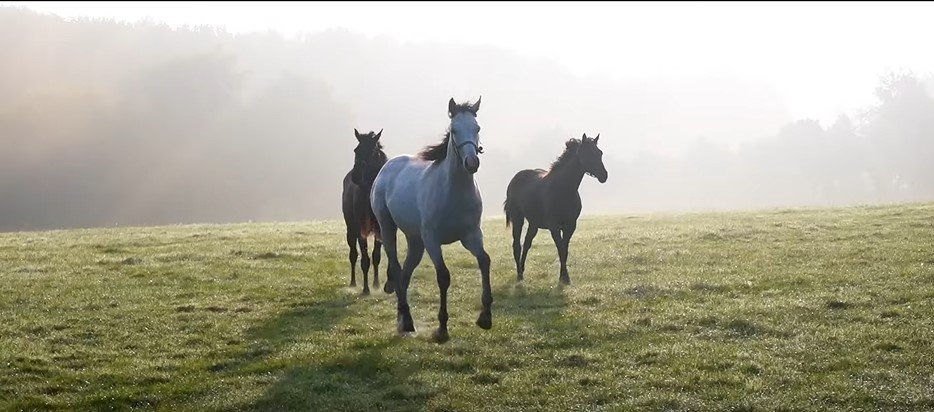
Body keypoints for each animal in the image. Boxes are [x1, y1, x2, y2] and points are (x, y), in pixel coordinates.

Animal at [341, 128, 387, 295]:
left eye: (372, 151)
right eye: (356, 150)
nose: (355, 175)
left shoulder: (381, 229)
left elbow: (376, 257)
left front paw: (376, 285)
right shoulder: (360, 230)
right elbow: (365, 260)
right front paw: (366, 289)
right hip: (350, 229)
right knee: (353, 255)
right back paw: (353, 283)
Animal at [370, 97, 491, 341]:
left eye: (477, 128)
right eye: (454, 130)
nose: (472, 162)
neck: (453, 192)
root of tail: (387, 168)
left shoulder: (471, 236)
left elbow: (484, 261)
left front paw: (485, 317)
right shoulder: (432, 239)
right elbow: (443, 276)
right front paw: (442, 328)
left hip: (415, 240)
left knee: (405, 274)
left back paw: (403, 319)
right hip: (389, 228)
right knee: (396, 269)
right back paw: (406, 320)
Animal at [503, 133, 608, 285]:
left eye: (600, 153)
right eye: (586, 153)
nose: (604, 175)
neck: (563, 189)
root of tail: (515, 179)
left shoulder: (570, 225)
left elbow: (565, 250)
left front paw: (564, 277)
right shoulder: (554, 226)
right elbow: (560, 249)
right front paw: (564, 277)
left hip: (534, 223)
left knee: (527, 243)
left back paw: (522, 270)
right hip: (518, 219)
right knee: (517, 245)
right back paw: (519, 275)